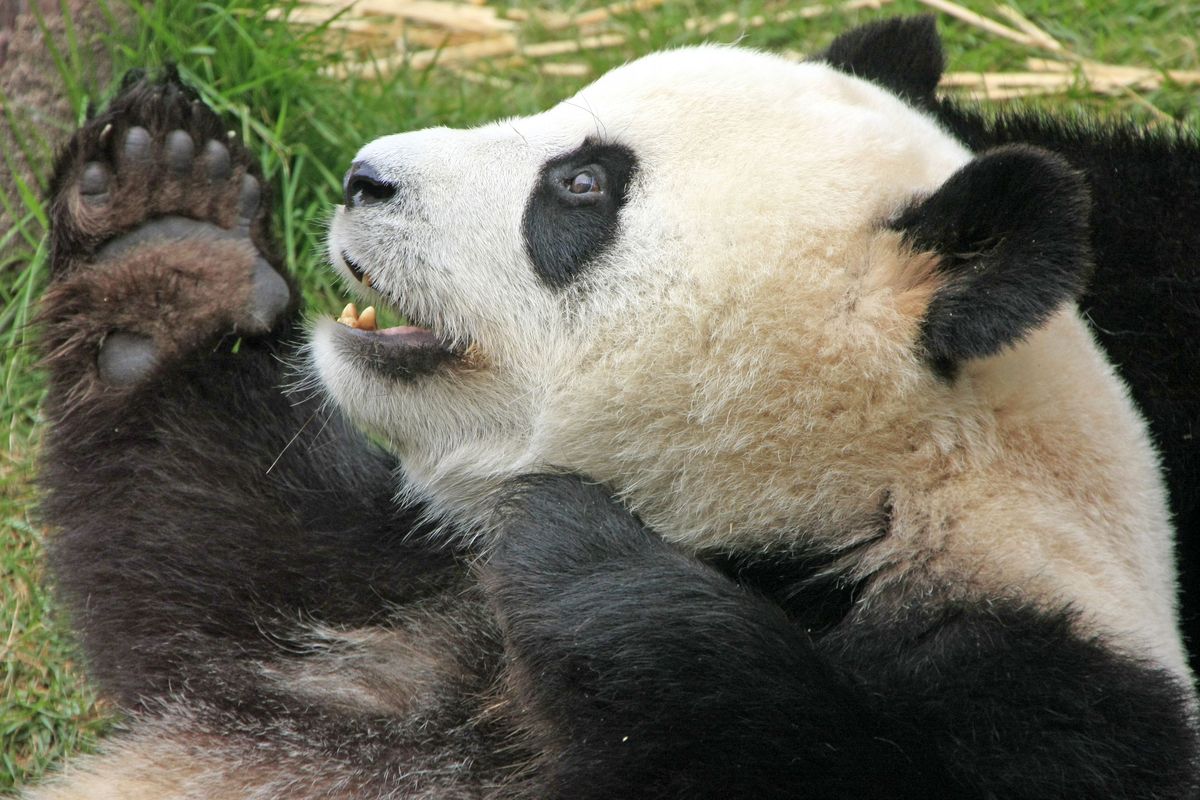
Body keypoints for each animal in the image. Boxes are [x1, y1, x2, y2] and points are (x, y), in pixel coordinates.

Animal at [27, 15, 1200, 800]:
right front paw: (170, 244)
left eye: (581, 185)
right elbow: (202, 561)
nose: (365, 177)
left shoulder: (1042, 688)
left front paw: (579, 552)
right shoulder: (392, 595)